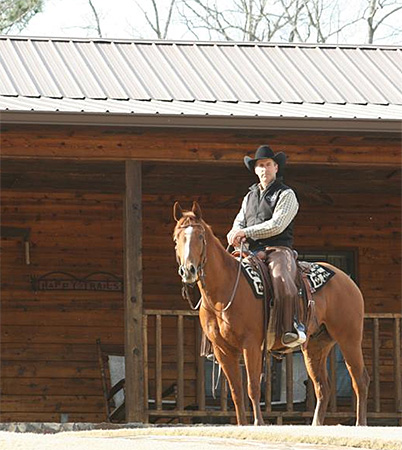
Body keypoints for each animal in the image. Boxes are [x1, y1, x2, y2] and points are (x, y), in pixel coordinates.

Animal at [171, 201, 370, 426]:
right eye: (176, 238)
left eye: (200, 236)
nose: (189, 270)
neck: (226, 289)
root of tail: (348, 281)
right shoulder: (222, 349)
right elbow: (236, 391)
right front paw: (242, 425)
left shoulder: (251, 344)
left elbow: (253, 387)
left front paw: (258, 423)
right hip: (316, 345)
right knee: (322, 387)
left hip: (349, 339)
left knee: (360, 379)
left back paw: (360, 424)